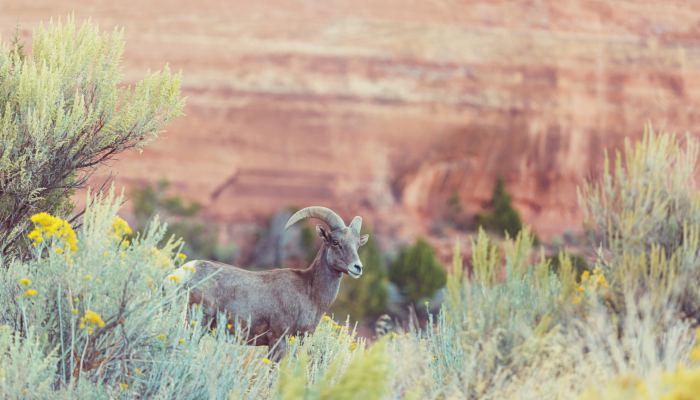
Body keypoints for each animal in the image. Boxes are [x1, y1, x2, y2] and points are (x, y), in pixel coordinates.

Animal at [167, 206, 370, 360]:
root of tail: (181, 273)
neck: (310, 293)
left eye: (358, 245)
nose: (357, 267)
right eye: (335, 241)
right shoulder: (277, 342)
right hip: (196, 323)